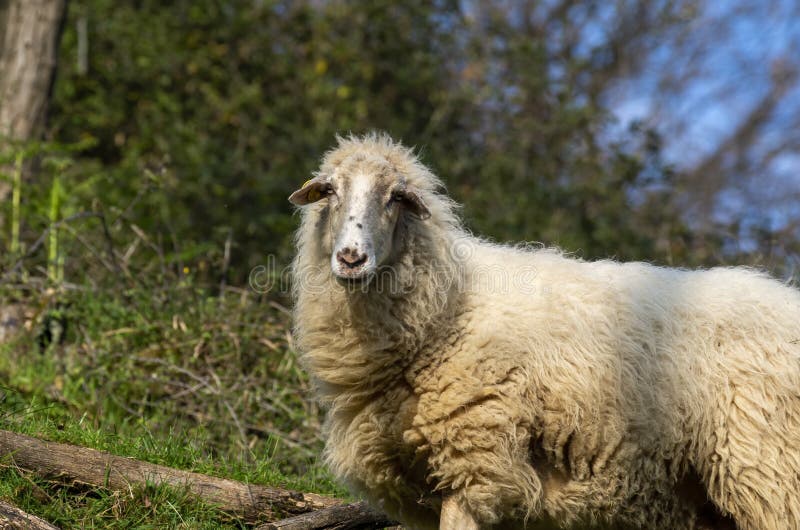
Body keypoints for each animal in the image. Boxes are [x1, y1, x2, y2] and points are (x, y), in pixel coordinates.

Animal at [288, 132, 800, 530]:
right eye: (329, 191)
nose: (351, 257)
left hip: (770, 471)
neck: (448, 308)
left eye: (395, 197)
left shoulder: (476, 464)